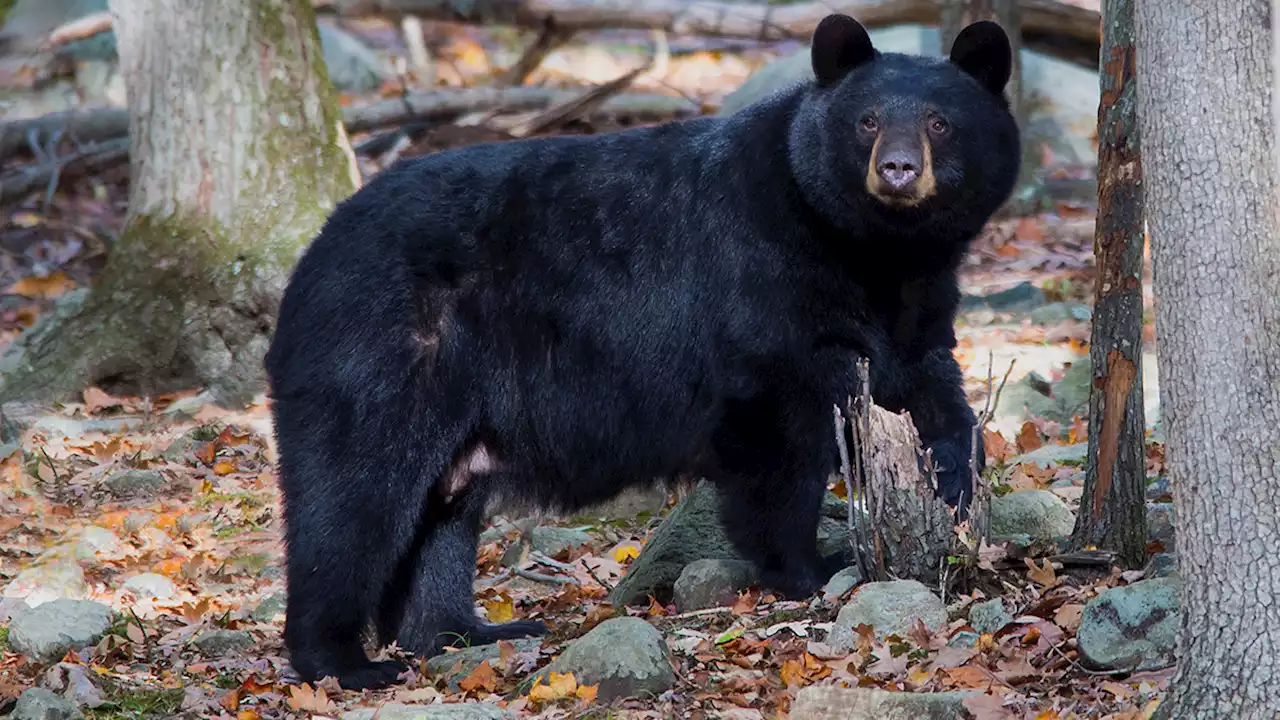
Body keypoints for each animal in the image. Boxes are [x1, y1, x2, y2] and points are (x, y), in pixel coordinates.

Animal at [262, 15, 1018, 691]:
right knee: (353, 495)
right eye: (866, 121)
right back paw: (344, 661)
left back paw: (467, 630)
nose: (897, 169)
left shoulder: (919, 304)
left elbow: (932, 393)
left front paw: (955, 491)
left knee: (442, 511)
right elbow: (779, 440)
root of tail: (313, 253)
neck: (874, 252)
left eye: (940, 122)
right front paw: (812, 564)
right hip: (382, 346)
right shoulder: (763, 281)